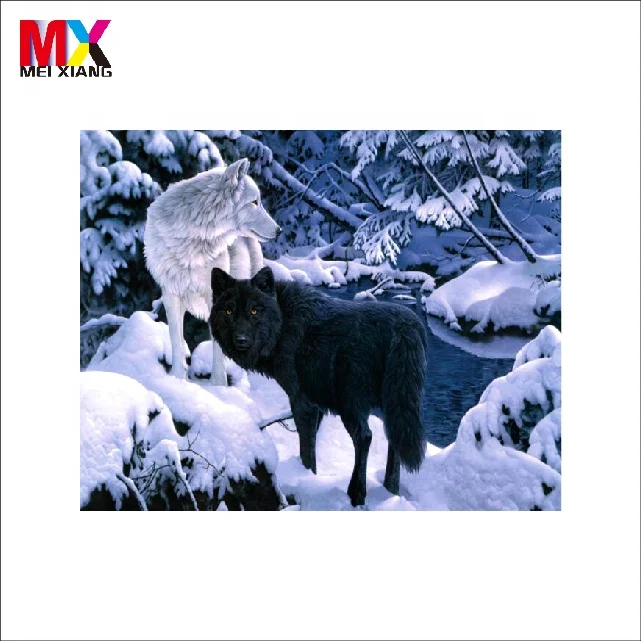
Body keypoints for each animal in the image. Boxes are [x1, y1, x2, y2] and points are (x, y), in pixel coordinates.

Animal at [144, 159, 280, 385]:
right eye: (254, 202)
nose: (279, 230)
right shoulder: (171, 295)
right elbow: (176, 342)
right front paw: (177, 381)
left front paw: (218, 386)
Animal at [209, 265, 428, 506]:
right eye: (228, 311)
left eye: (255, 311)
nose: (241, 339)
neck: (283, 323)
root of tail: (405, 326)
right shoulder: (317, 405)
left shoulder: (301, 401)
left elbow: (307, 451)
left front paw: (304, 481)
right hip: (395, 404)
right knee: (393, 439)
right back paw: (391, 493)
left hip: (350, 403)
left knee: (365, 437)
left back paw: (357, 495)